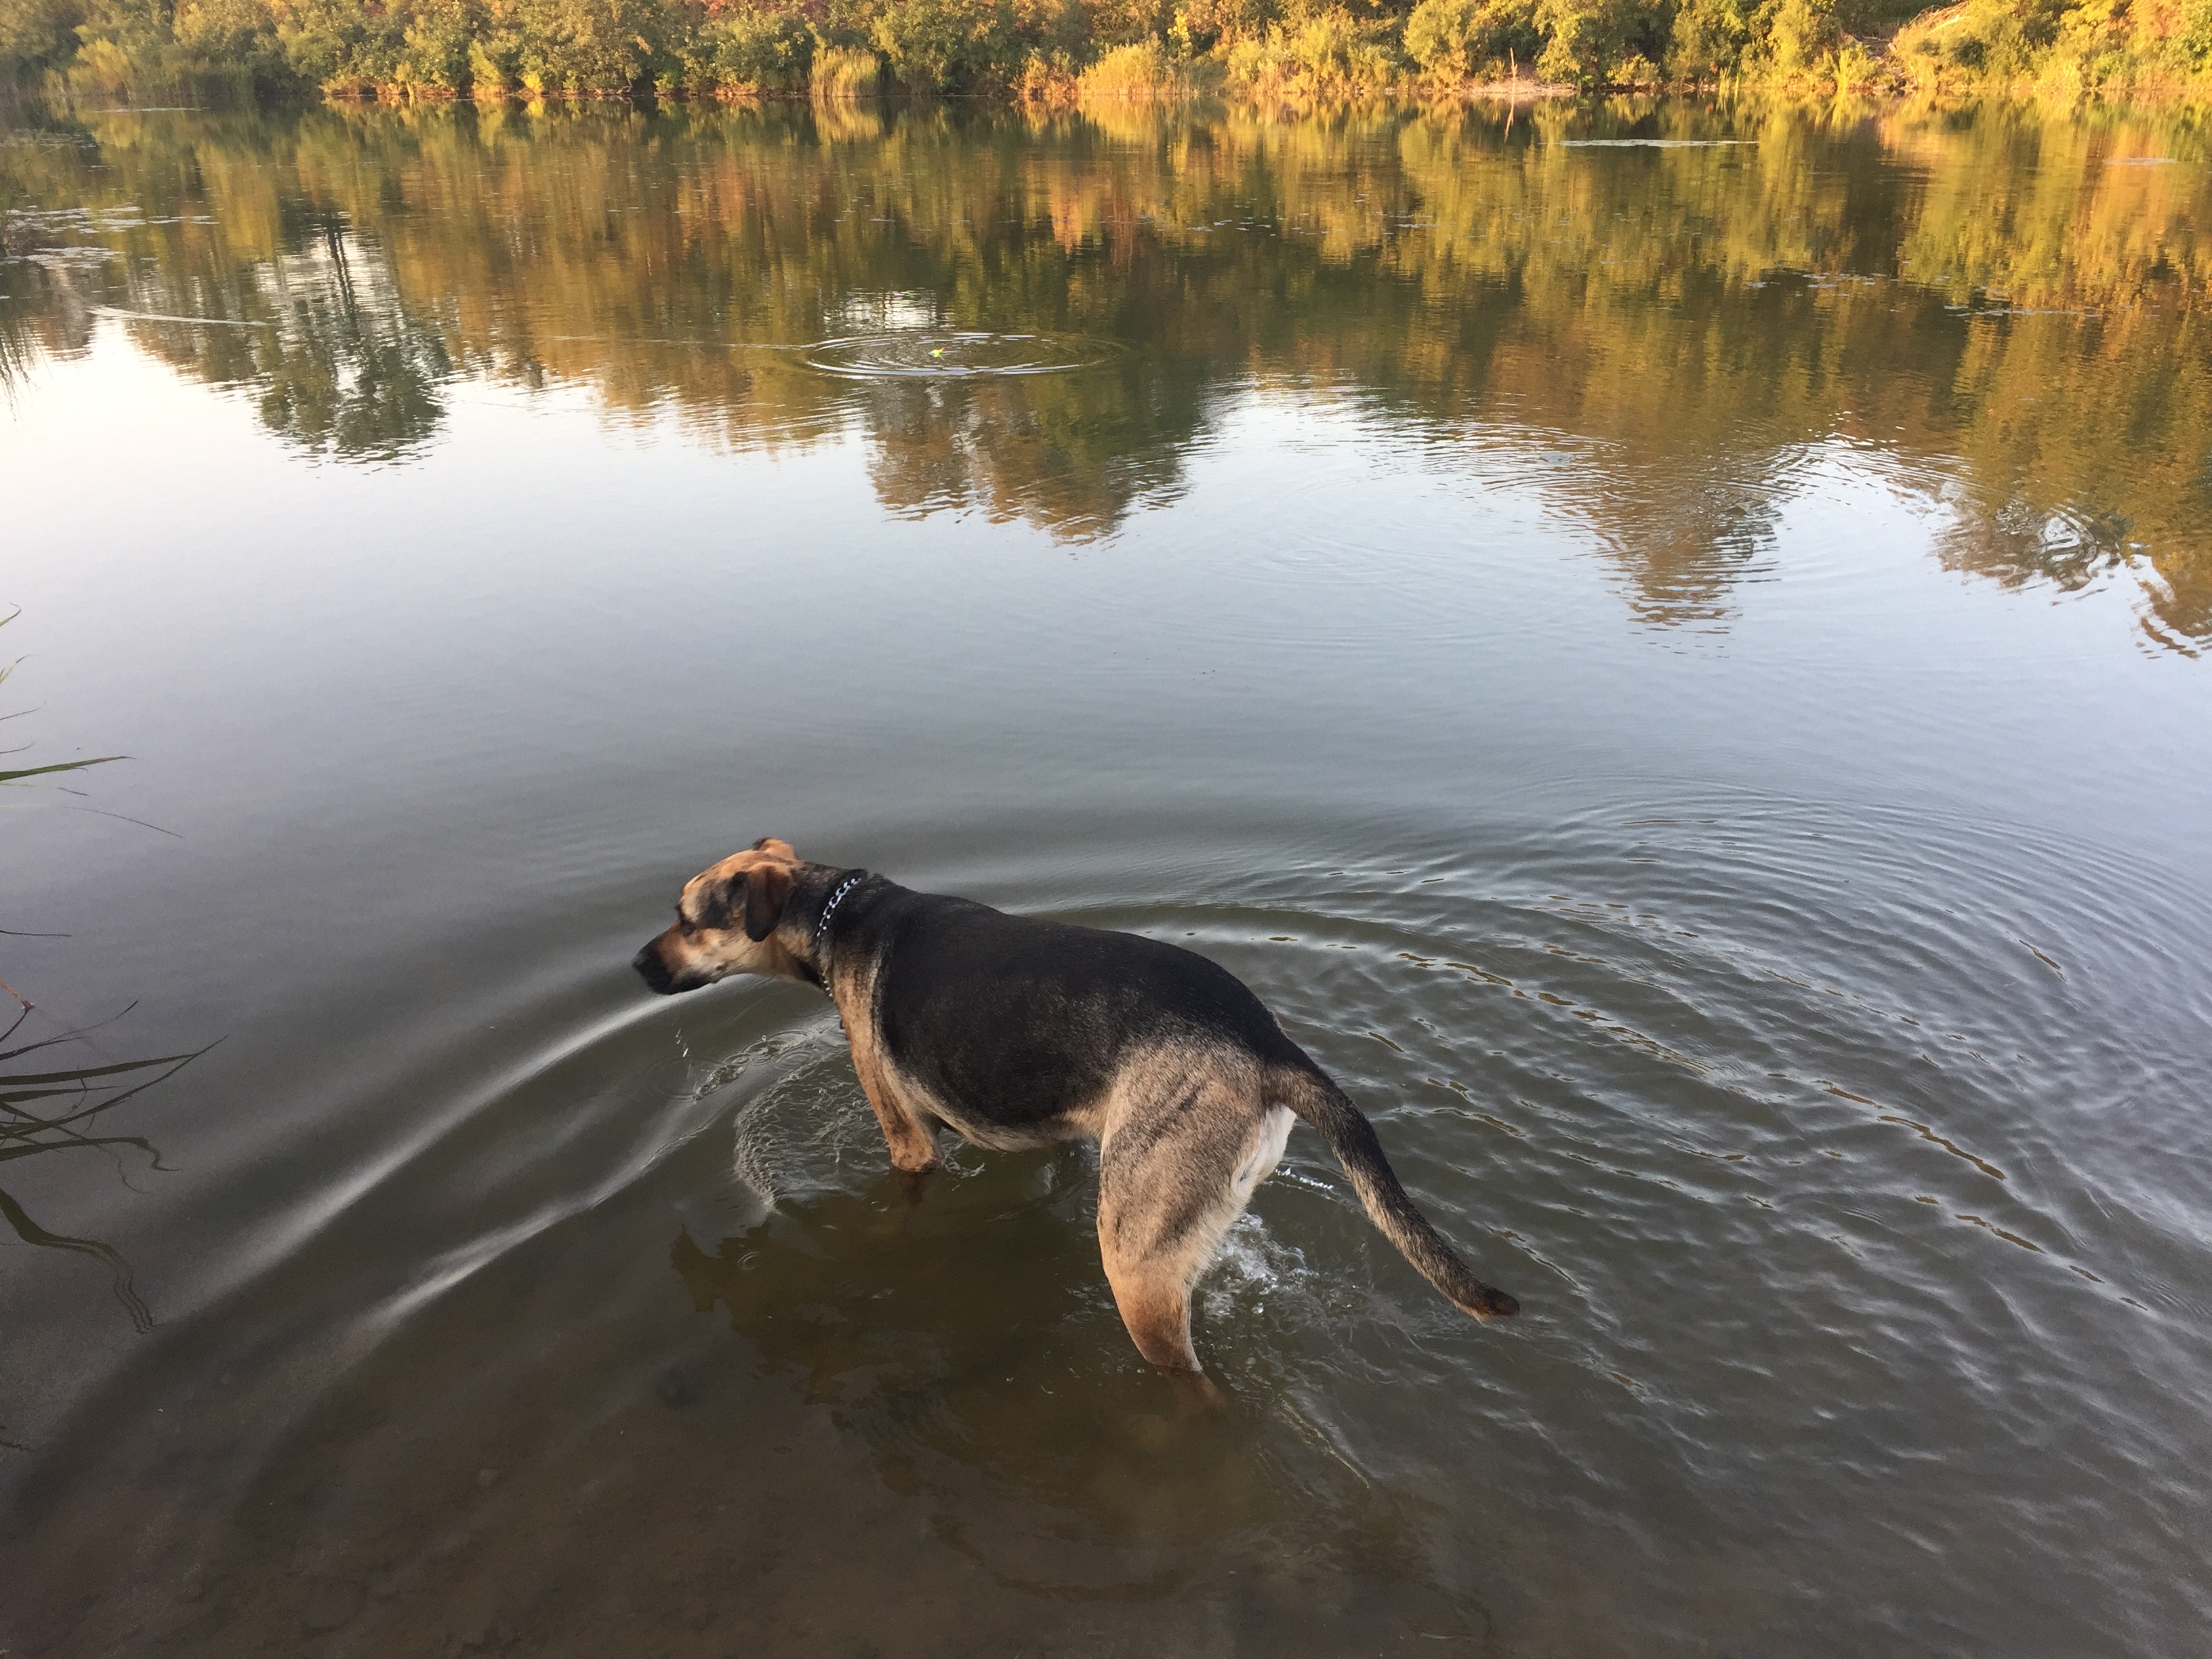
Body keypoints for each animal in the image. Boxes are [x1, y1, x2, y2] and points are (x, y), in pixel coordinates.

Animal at [634, 838, 1518, 1376]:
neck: (837, 914)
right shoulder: (1053, 1136)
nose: (638, 965)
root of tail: (1269, 1045)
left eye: (686, 919)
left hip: (1134, 1263)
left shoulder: (908, 1142)